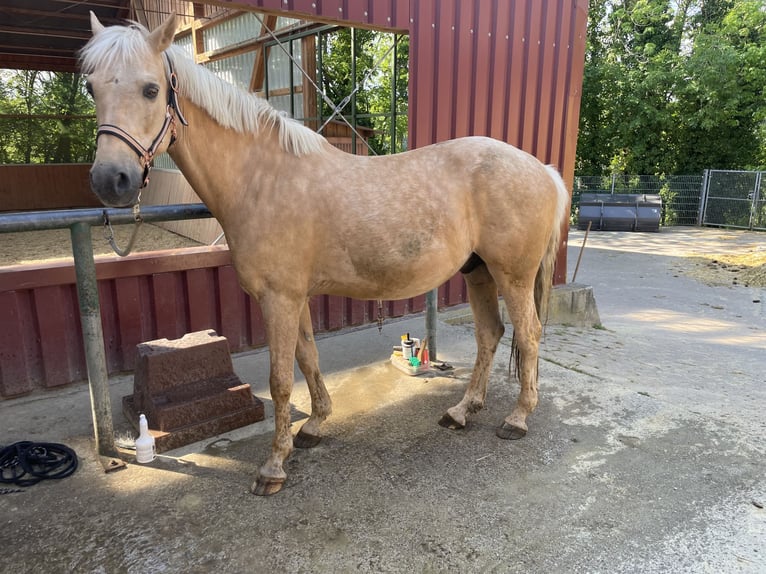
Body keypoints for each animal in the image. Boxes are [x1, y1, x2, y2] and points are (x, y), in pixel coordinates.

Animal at [81, 13, 569, 496]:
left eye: (151, 89)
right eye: (91, 87)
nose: (110, 181)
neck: (262, 178)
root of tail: (543, 170)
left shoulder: (278, 298)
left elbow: (280, 380)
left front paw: (273, 467)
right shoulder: (294, 298)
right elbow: (308, 359)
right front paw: (313, 427)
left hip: (512, 275)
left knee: (529, 335)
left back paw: (517, 418)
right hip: (478, 271)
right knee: (490, 335)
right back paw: (462, 411)